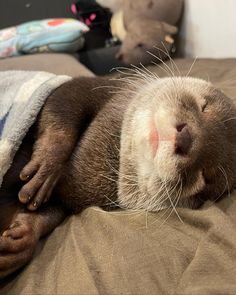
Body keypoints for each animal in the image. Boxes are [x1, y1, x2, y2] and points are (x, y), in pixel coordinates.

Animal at [0, 74, 236, 280]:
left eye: (206, 175)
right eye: (204, 107)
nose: (185, 139)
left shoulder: (68, 200)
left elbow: (48, 213)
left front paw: (21, 240)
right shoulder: (91, 87)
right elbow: (62, 102)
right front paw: (46, 164)